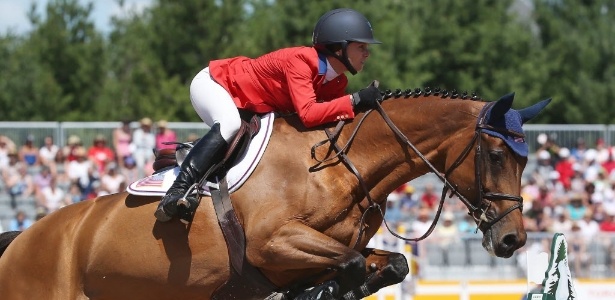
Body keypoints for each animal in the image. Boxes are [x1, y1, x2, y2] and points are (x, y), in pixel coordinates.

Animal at [0, 90, 548, 298]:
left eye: (526, 161)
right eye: (496, 156)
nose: (513, 240)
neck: (340, 167)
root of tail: (24, 236)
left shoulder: (332, 244)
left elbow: (390, 263)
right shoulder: (272, 244)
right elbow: (350, 264)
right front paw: (319, 290)